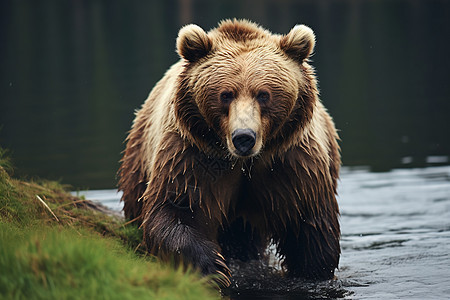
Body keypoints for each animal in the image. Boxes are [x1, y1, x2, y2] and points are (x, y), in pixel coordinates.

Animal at [118, 18, 340, 286]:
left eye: (263, 94)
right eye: (225, 94)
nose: (244, 137)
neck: (246, 162)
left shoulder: (291, 163)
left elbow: (308, 222)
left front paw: (312, 271)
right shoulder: (192, 157)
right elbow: (176, 208)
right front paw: (215, 268)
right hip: (139, 160)